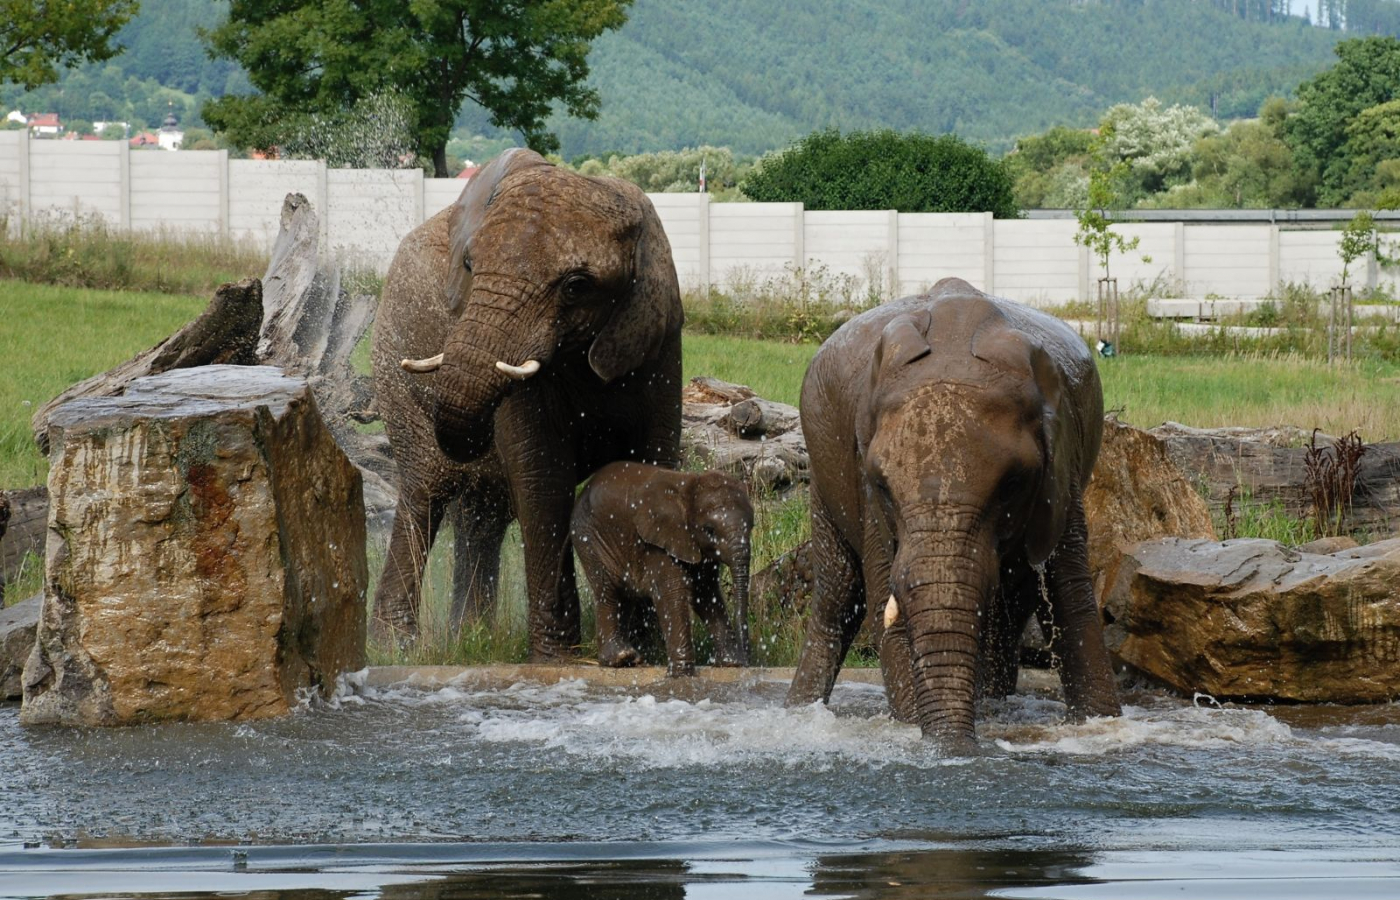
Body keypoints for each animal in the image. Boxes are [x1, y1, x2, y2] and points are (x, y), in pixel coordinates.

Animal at [369, 146, 680, 655]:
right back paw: (397, 645)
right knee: (427, 491)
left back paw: (471, 634)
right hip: (393, 359)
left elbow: (649, 468)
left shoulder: (659, 344)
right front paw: (558, 659)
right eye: (470, 265)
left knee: (483, 513)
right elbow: (544, 478)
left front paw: (652, 650)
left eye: (576, 285)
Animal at [571, 464, 756, 677]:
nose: (746, 662)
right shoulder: (658, 540)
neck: (688, 487)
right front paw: (681, 675)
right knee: (608, 589)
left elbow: (706, 593)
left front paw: (731, 663)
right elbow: (672, 592)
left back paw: (629, 658)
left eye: (752, 526)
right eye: (709, 530)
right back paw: (619, 658)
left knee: (624, 596)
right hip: (589, 536)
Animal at [789, 278, 1125, 750]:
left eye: (1014, 483)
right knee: (837, 599)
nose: (959, 747)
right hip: (822, 473)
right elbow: (886, 613)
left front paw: (1102, 724)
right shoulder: (865, 484)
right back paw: (799, 712)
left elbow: (1071, 602)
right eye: (881, 485)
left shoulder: (1065, 469)